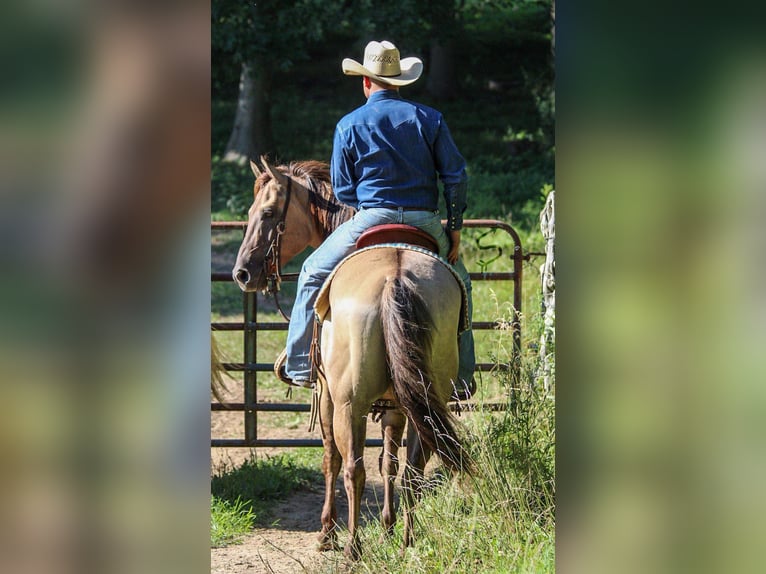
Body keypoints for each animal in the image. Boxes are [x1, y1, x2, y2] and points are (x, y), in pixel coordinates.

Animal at [231, 159, 472, 564]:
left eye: (266, 213)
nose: (242, 273)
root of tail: (394, 276)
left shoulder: (327, 394)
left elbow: (330, 458)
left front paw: (326, 532)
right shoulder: (396, 405)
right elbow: (390, 463)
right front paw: (388, 528)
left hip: (349, 404)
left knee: (353, 470)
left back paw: (351, 547)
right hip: (426, 398)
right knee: (413, 469)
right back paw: (407, 542)